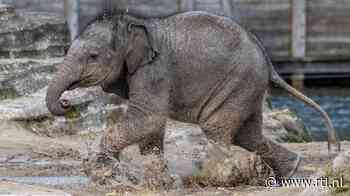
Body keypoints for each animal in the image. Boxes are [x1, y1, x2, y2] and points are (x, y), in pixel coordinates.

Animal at [45, 11, 340, 178]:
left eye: (93, 56)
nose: (65, 103)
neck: (134, 25)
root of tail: (269, 62)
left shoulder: (154, 72)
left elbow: (147, 118)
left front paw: (102, 170)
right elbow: (152, 126)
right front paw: (157, 176)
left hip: (237, 83)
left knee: (216, 127)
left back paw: (216, 176)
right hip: (248, 88)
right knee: (248, 134)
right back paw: (290, 171)